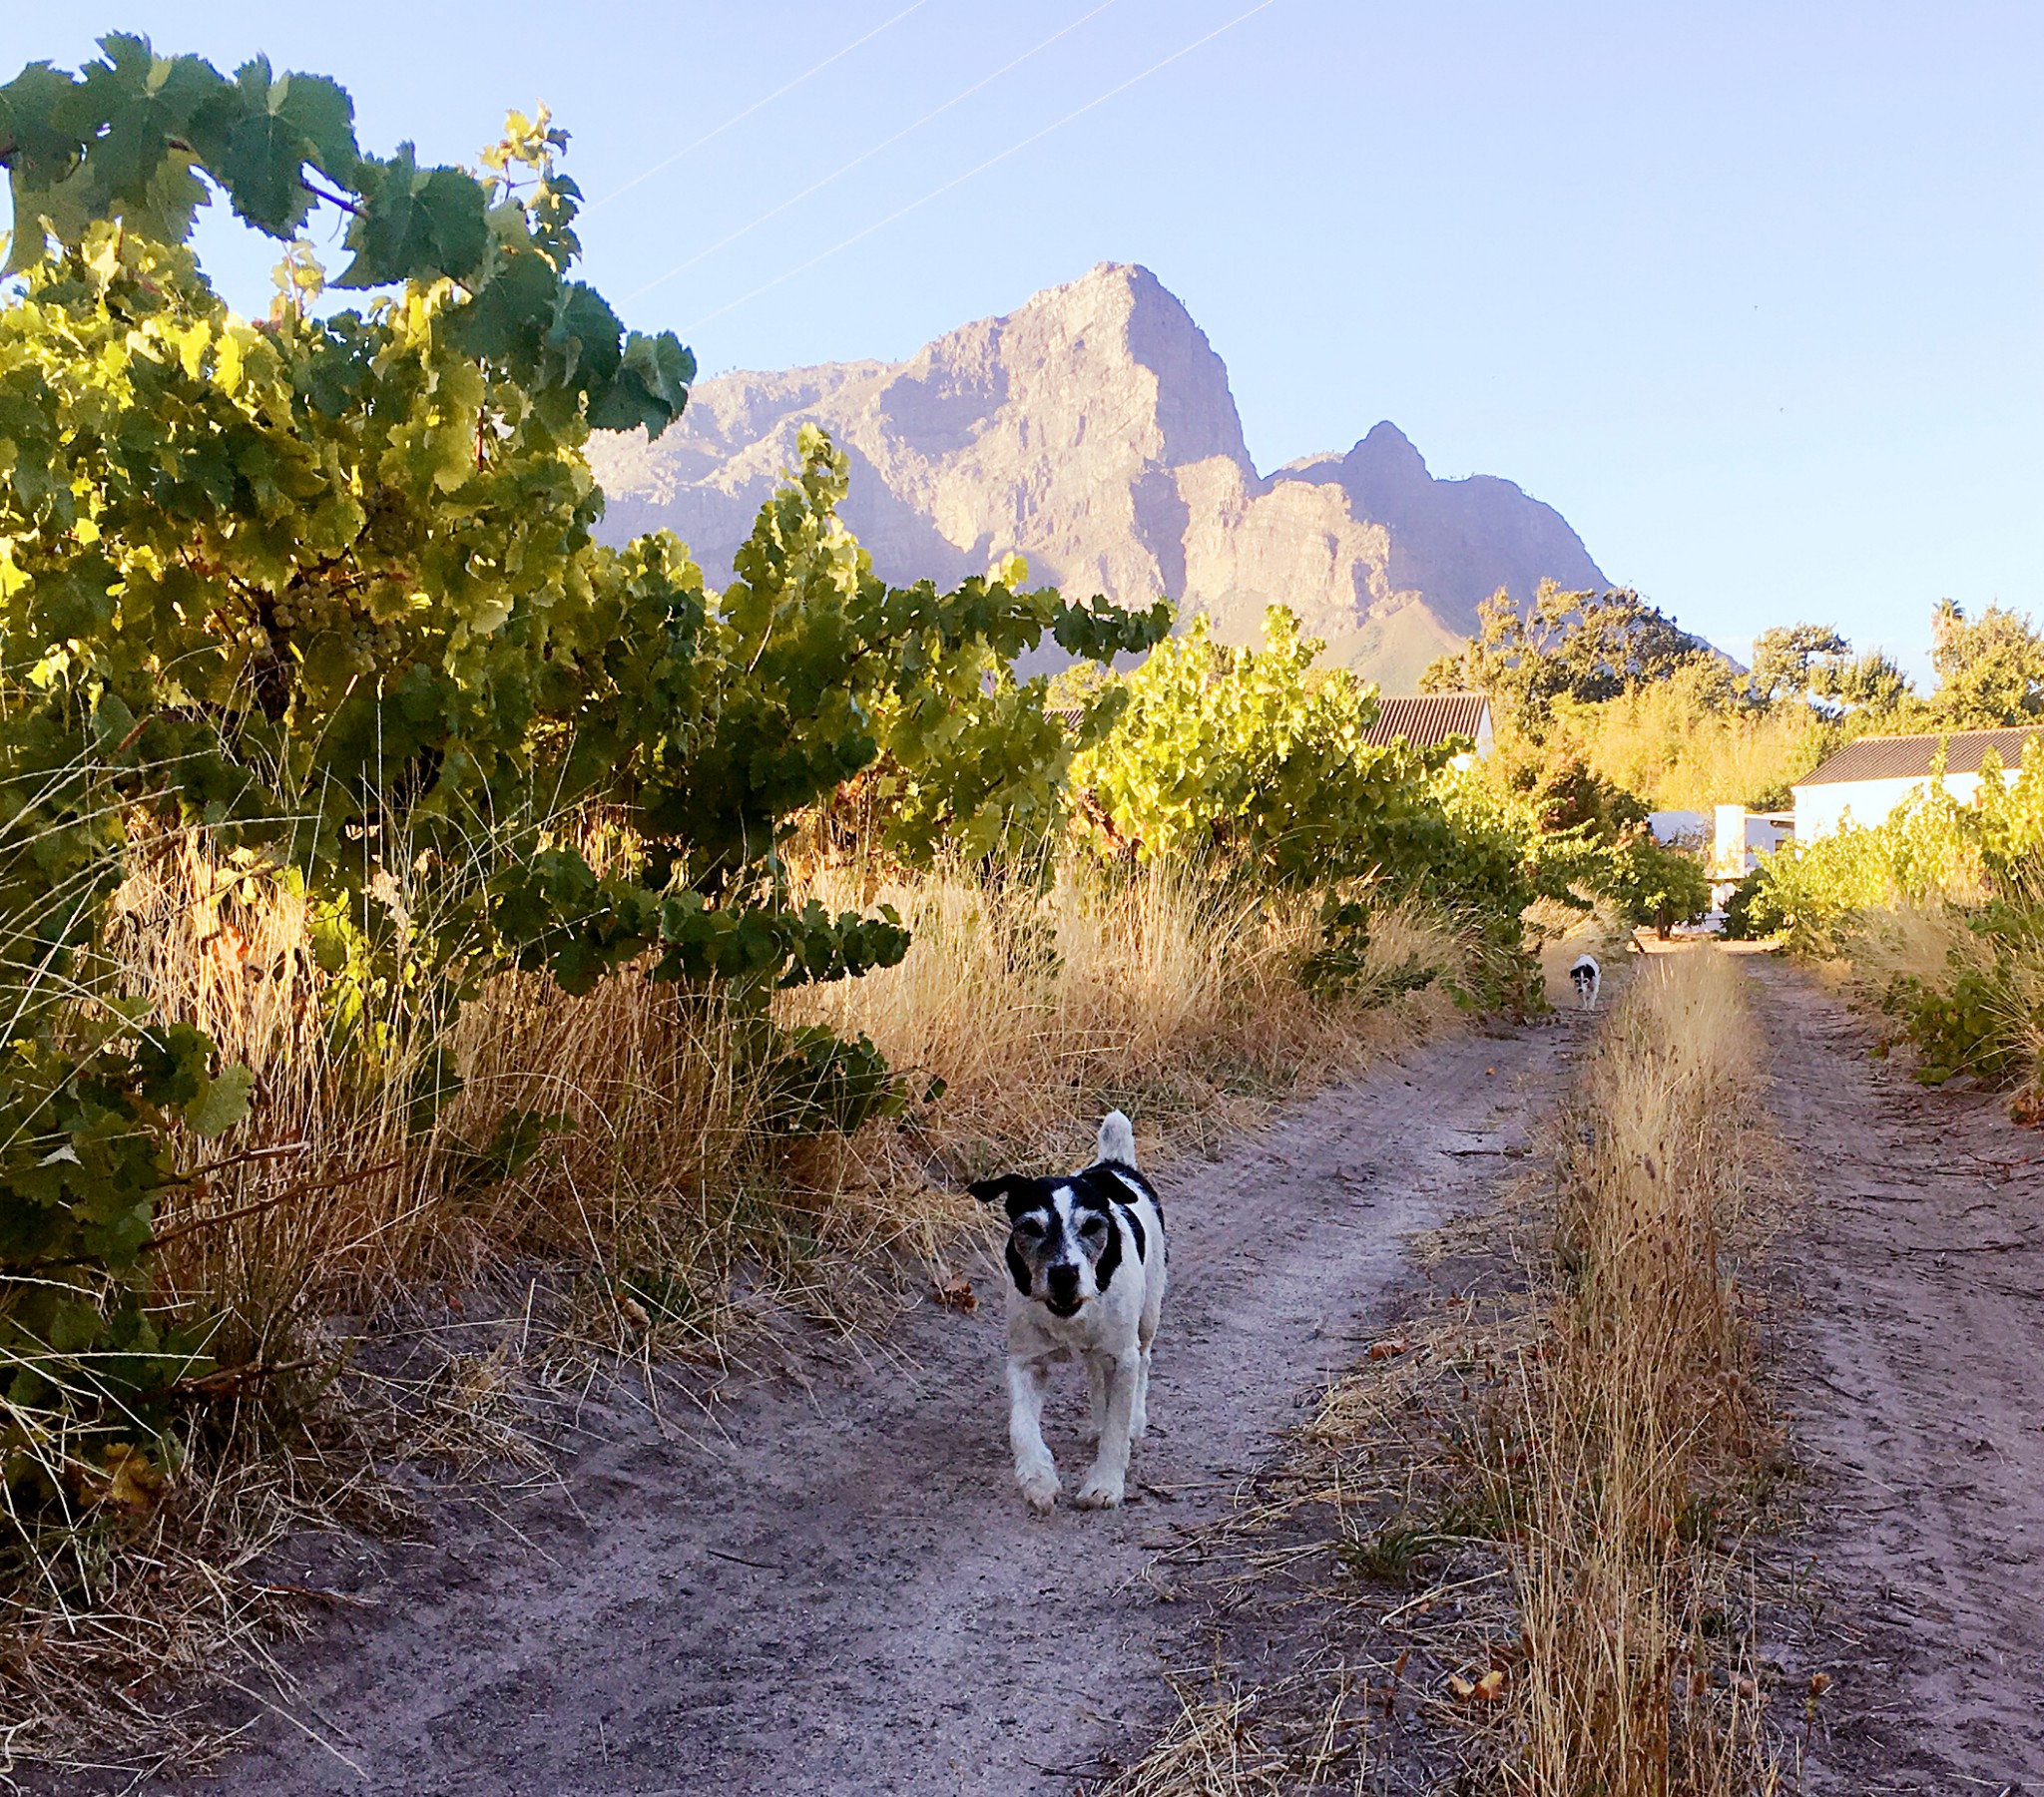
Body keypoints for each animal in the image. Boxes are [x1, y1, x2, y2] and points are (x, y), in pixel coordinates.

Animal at [968, 1112, 1169, 1521]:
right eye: (1030, 1227)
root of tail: (1114, 1164)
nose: (1063, 1274)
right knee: (1094, 1375)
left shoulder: (1122, 1358)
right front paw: (1038, 1480)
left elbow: (1116, 1430)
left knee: (1144, 1360)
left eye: (1092, 1225)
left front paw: (1104, 1485)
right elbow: (1021, 1427)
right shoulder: (1025, 1361)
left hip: (1147, 1316)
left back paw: (1136, 1421)